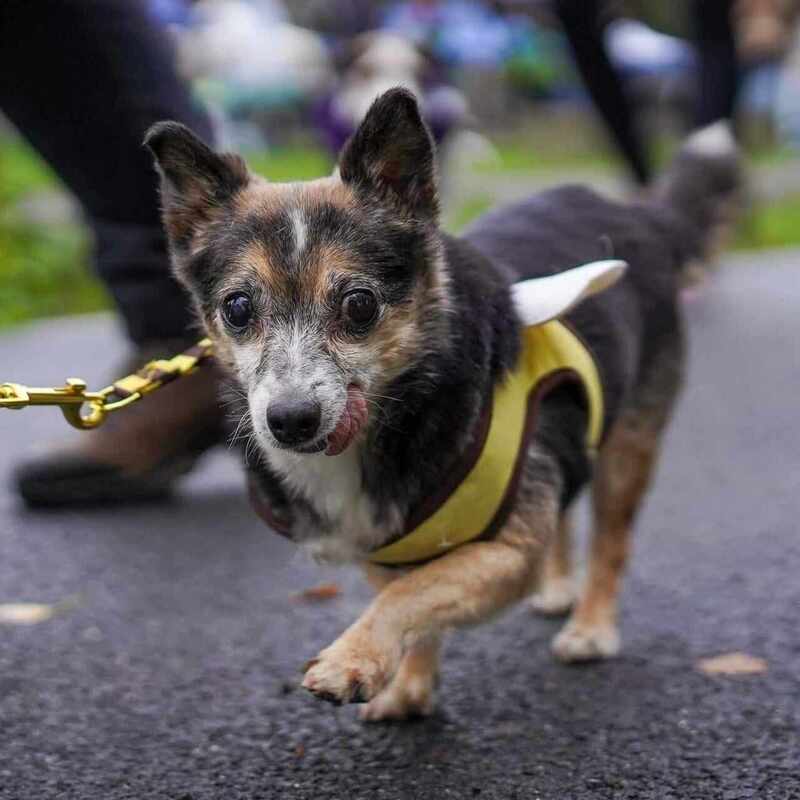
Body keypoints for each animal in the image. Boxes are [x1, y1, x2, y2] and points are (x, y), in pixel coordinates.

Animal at [144, 87, 736, 720]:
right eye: (237, 309)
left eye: (359, 305)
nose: (290, 420)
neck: (395, 416)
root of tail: (638, 214)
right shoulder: (393, 548)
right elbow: (415, 607)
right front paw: (408, 688)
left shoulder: (506, 554)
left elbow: (412, 594)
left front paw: (351, 661)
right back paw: (557, 590)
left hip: (628, 447)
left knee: (611, 539)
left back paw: (591, 628)